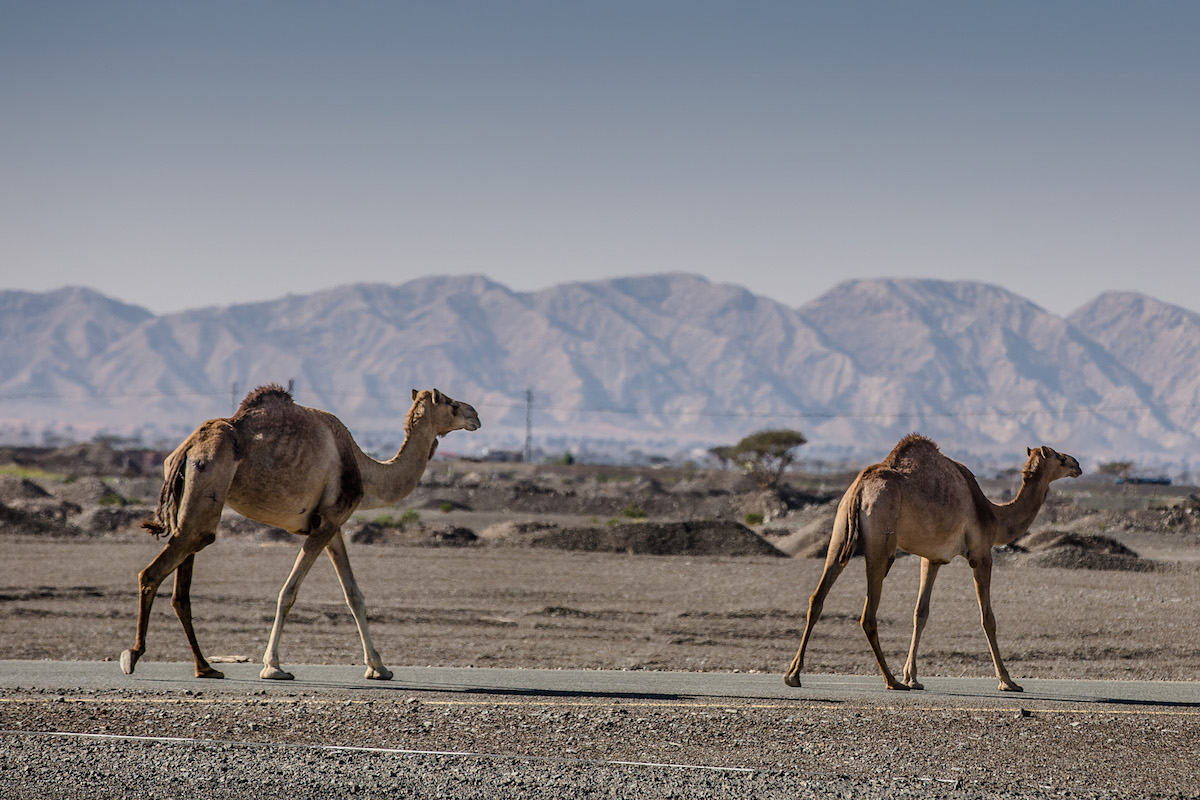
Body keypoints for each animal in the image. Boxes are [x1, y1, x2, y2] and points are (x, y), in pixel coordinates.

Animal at [119, 386, 480, 681]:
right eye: (449, 402)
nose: (475, 414)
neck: (363, 468)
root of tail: (188, 446)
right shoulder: (328, 522)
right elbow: (288, 592)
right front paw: (273, 667)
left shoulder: (331, 524)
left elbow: (354, 596)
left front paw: (379, 667)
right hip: (206, 483)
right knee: (156, 569)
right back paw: (133, 655)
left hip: (189, 497)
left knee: (182, 579)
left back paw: (205, 667)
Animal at [782, 434, 1084, 690]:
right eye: (1058, 457)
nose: (1077, 464)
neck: (995, 516)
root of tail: (861, 488)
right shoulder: (981, 554)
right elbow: (987, 617)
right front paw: (1008, 681)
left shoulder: (932, 558)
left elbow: (920, 613)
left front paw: (913, 676)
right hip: (881, 542)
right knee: (868, 614)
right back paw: (891, 680)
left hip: (839, 531)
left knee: (817, 598)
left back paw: (793, 674)